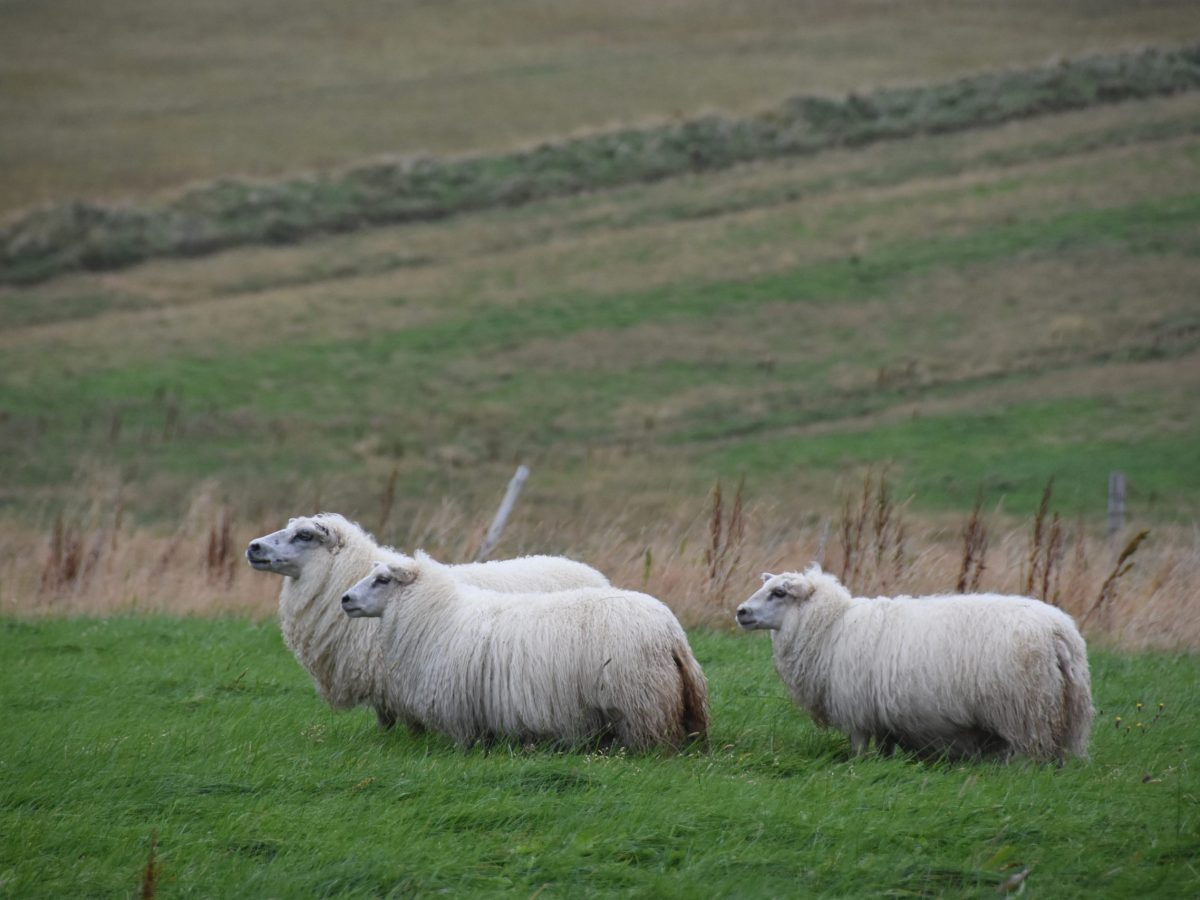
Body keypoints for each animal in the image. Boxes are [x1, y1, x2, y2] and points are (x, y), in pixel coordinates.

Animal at [340, 552, 710, 751]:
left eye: (383, 579)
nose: (345, 599)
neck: (439, 614)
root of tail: (671, 633)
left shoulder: (462, 710)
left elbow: (467, 742)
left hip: (641, 701)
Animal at [735, 564, 1092, 762]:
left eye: (779, 592)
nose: (741, 611)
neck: (831, 625)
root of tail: (1058, 631)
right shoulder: (880, 713)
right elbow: (884, 749)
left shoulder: (856, 709)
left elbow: (859, 748)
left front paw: (856, 768)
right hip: (1063, 710)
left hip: (1025, 709)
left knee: (1031, 752)